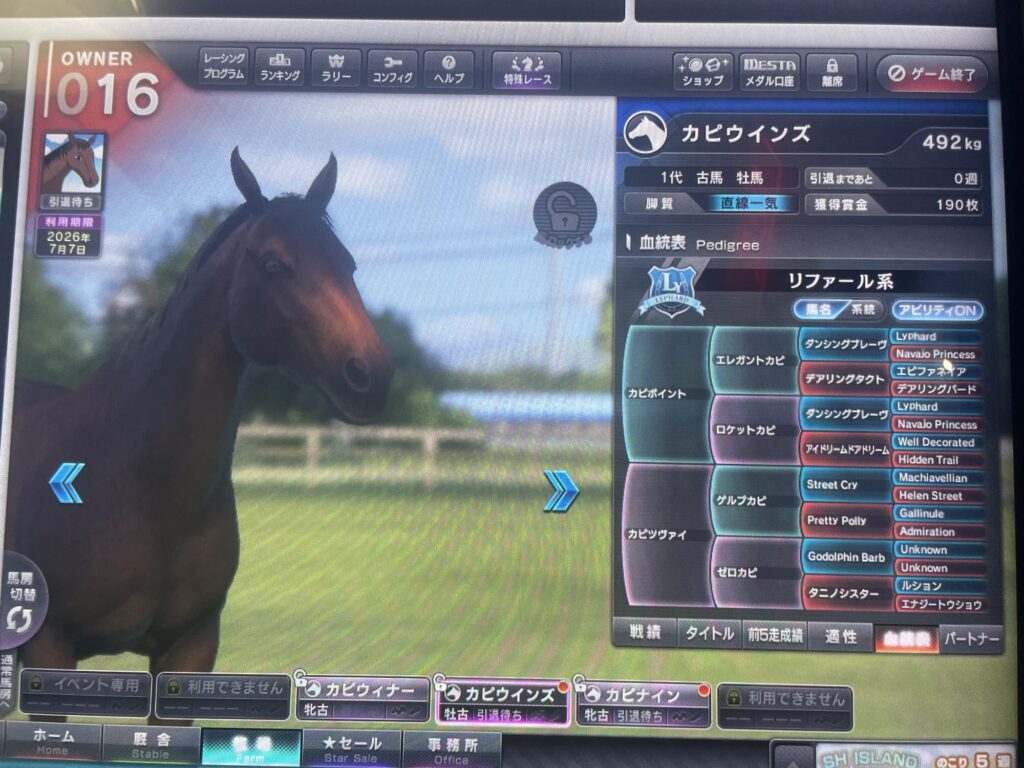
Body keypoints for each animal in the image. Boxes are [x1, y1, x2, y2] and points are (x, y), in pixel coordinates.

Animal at [6, 149, 393, 720]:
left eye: (347, 265)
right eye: (273, 264)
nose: (372, 377)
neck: (134, 480)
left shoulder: (190, 647)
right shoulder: (51, 648)